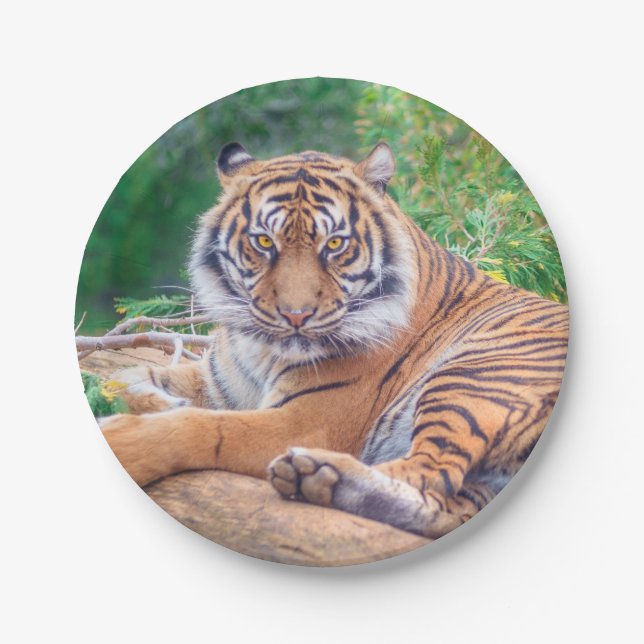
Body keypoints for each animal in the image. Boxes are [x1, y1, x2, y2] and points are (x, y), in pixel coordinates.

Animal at [100, 141, 568, 540]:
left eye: (335, 244)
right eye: (264, 242)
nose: (295, 316)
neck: (260, 349)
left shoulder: (305, 420)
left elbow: (204, 428)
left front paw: (125, 440)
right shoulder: (217, 383)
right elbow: (130, 375)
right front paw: (155, 399)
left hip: (471, 376)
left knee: (431, 472)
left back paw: (317, 472)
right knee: (446, 504)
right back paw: (318, 481)